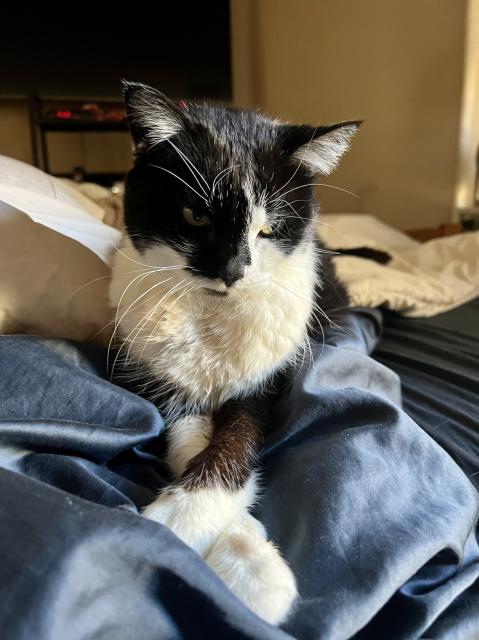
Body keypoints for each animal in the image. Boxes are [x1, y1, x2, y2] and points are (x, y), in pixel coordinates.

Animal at [109, 80, 360, 624]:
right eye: (195, 214)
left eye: (269, 230)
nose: (232, 271)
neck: (211, 312)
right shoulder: (162, 373)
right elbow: (189, 439)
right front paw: (245, 550)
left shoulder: (265, 379)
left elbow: (236, 437)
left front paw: (178, 519)